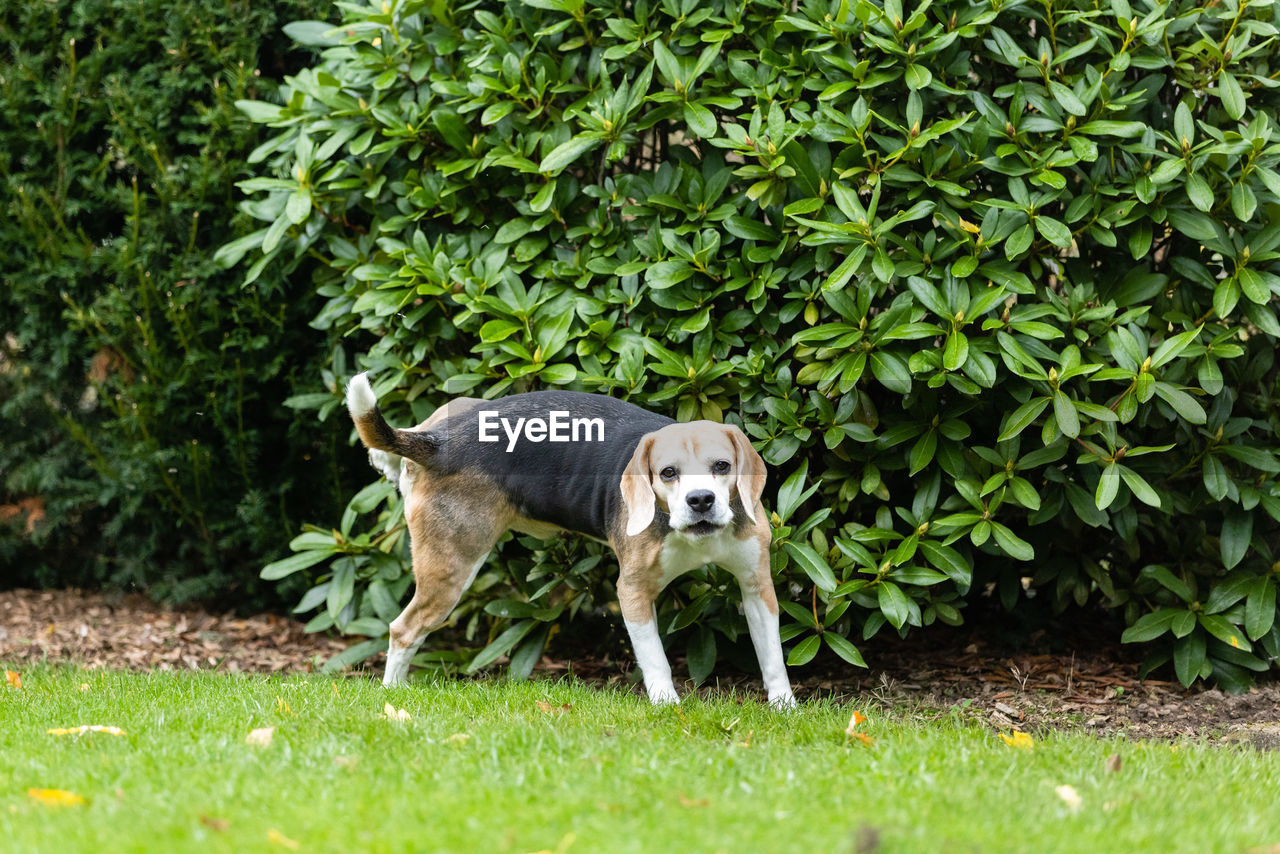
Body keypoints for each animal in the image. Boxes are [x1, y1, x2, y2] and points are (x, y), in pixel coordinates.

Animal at [345, 373, 793, 706]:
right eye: (668, 473)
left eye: (723, 466)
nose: (700, 500)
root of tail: (437, 441)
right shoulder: (632, 591)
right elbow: (656, 659)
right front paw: (667, 705)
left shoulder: (757, 585)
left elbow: (773, 655)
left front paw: (783, 707)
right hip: (450, 570)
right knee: (403, 630)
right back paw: (393, 694)